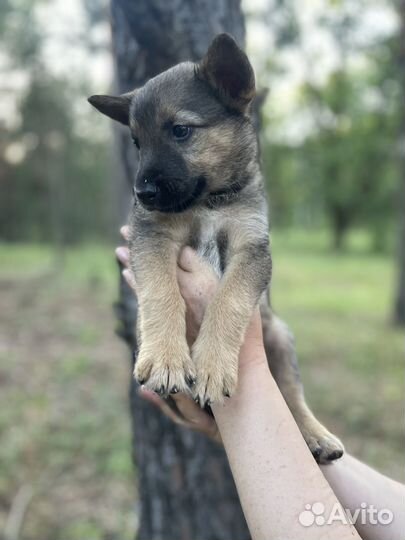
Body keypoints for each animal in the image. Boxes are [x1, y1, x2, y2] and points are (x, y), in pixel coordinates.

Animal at [89, 33, 344, 462]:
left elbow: (228, 300)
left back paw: (317, 435)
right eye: (137, 142)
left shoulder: (252, 248)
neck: (210, 202)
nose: (142, 195)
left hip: (280, 337)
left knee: (292, 395)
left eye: (180, 131)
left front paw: (211, 366)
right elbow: (161, 292)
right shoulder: (151, 236)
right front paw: (165, 357)